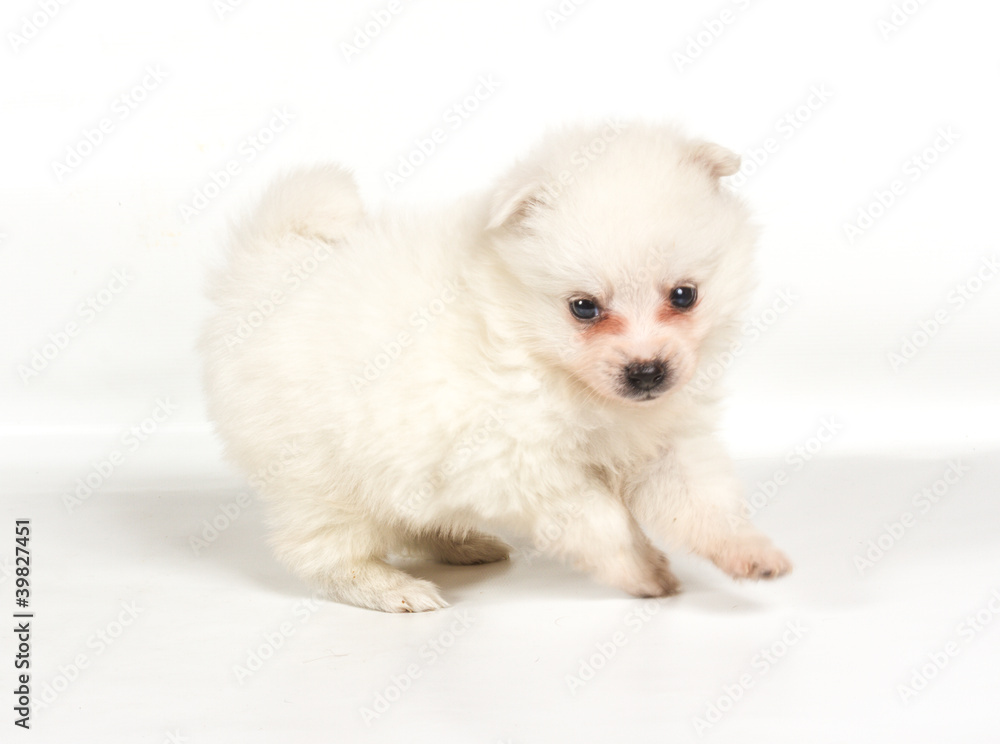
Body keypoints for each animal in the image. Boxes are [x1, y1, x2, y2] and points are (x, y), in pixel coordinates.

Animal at [201, 120, 788, 612]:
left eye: (684, 295)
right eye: (583, 307)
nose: (646, 372)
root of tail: (264, 271)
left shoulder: (663, 445)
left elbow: (701, 503)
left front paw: (748, 551)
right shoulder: (518, 463)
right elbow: (602, 521)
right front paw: (642, 570)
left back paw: (461, 544)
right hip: (322, 475)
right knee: (325, 551)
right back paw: (390, 588)